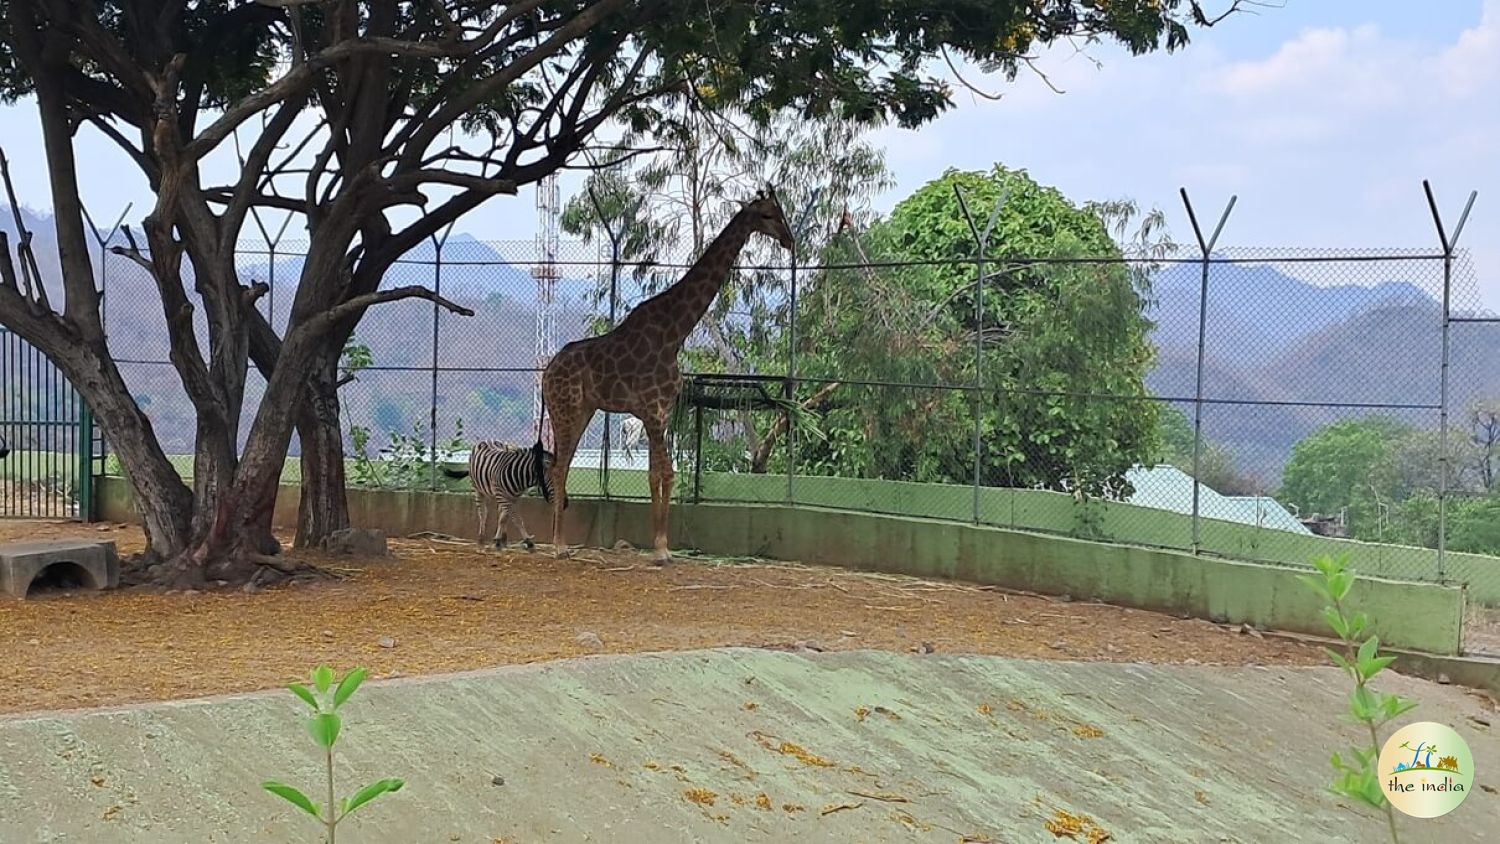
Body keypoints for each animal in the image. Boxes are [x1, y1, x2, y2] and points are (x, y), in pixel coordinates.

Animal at [540, 188, 798, 563]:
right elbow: (660, 474)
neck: (675, 332)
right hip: (566, 409)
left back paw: (559, 543)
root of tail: (546, 373)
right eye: (766, 215)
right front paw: (660, 549)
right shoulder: (651, 410)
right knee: (558, 467)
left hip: (584, 410)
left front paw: (664, 546)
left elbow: (663, 474)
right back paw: (558, 546)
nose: (789, 240)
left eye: (781, 212)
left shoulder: (660, 413)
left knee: (563, 464)